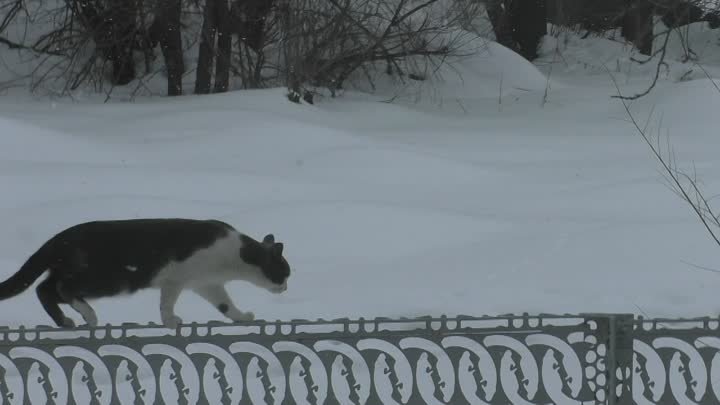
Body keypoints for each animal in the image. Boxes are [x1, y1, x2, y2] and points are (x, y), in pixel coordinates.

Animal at [0, 218, 292, 328]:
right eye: (285, 273)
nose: (286, 288)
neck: (237, 256)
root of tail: (59, 239)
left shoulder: (205, 284)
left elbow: (225, 305)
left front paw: (242, 317)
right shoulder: (177, 278)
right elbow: (166, 303)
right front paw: (171, 320)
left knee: (45, 288)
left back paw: (64, 321)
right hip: (106, 279)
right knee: (60, 288)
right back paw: (88, 315)